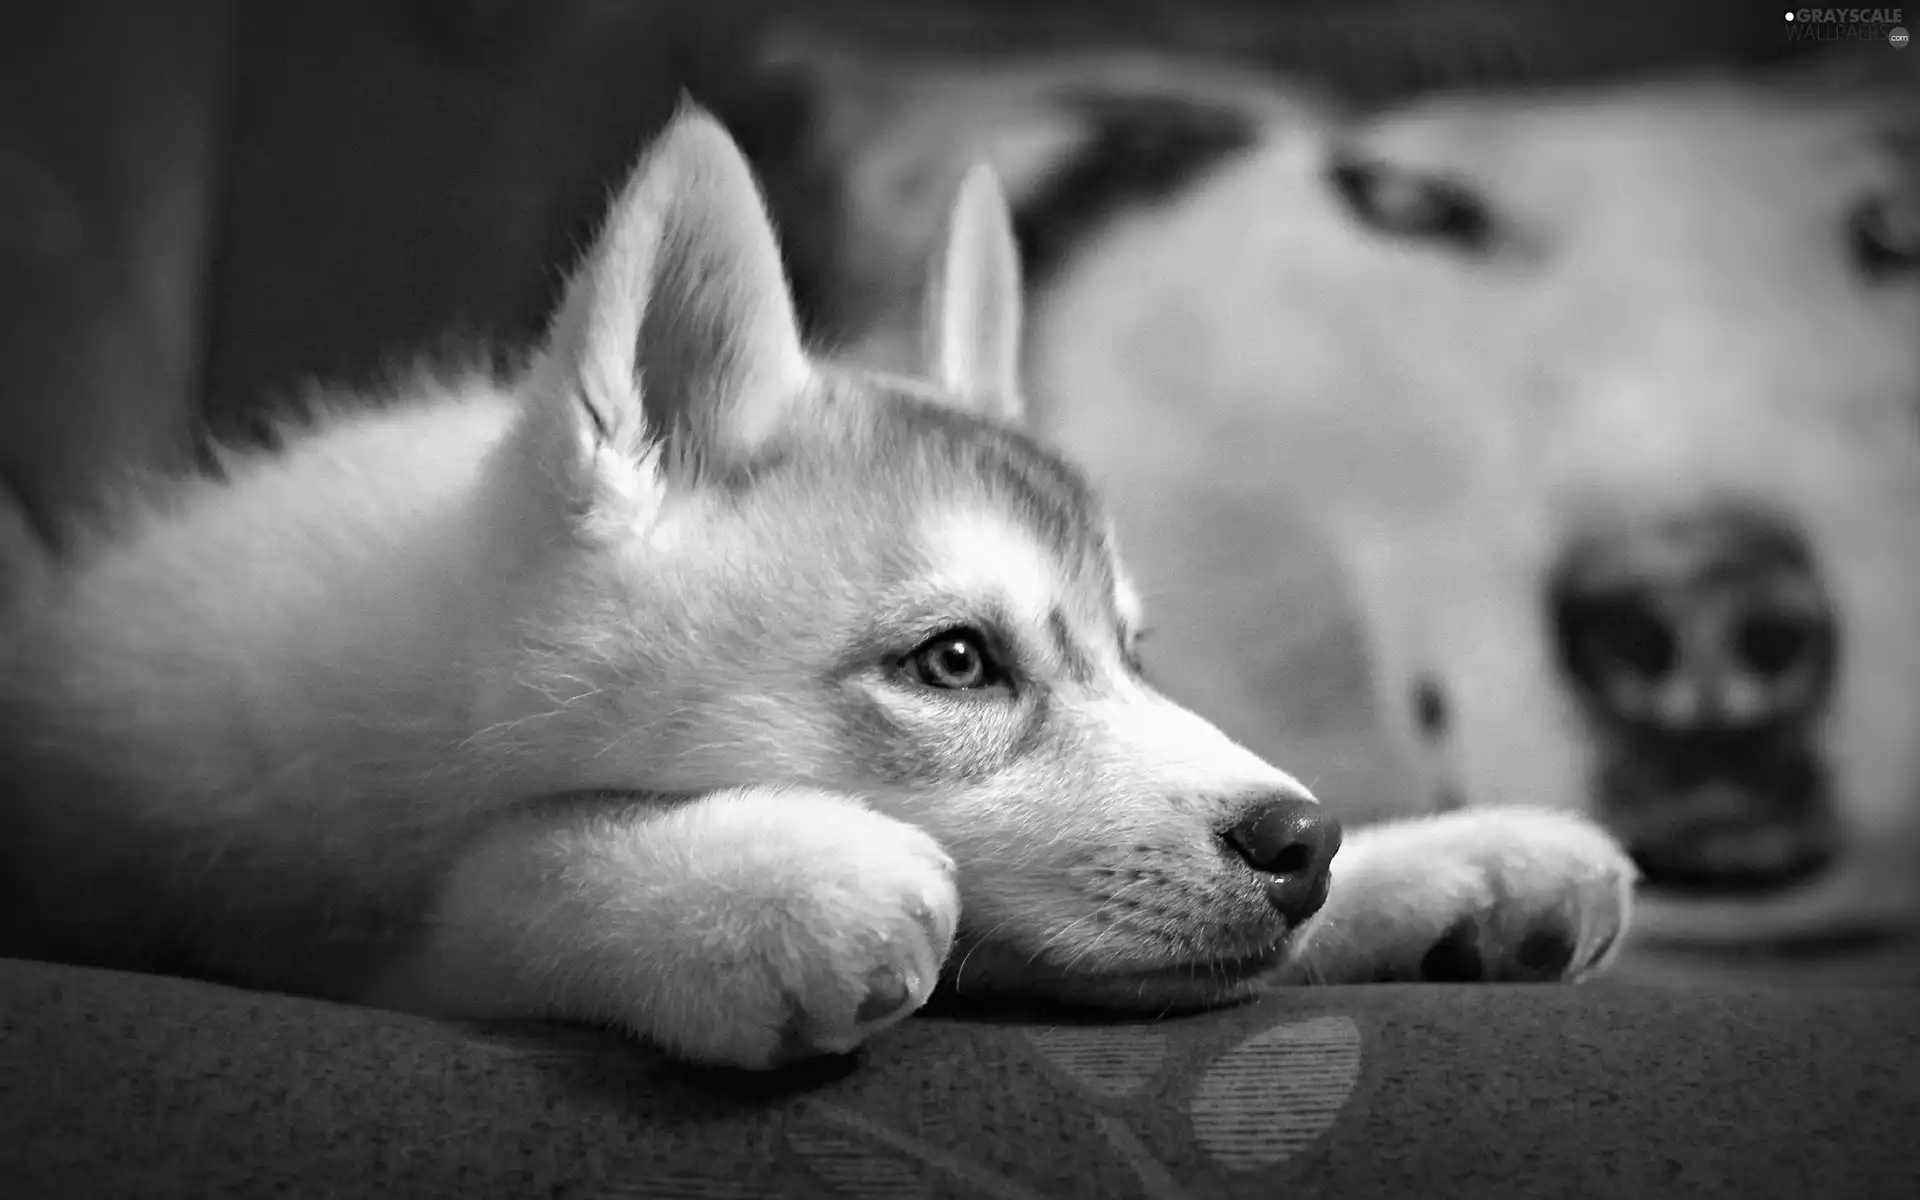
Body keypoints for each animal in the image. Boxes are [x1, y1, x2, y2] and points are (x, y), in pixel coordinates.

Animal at [0, 109, 1635, 1067]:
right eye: (956, 661)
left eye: (1139, 650)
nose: (1303, 839)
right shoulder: (260, 907)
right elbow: (499, 885)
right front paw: (750, 885)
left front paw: (1451, 864)